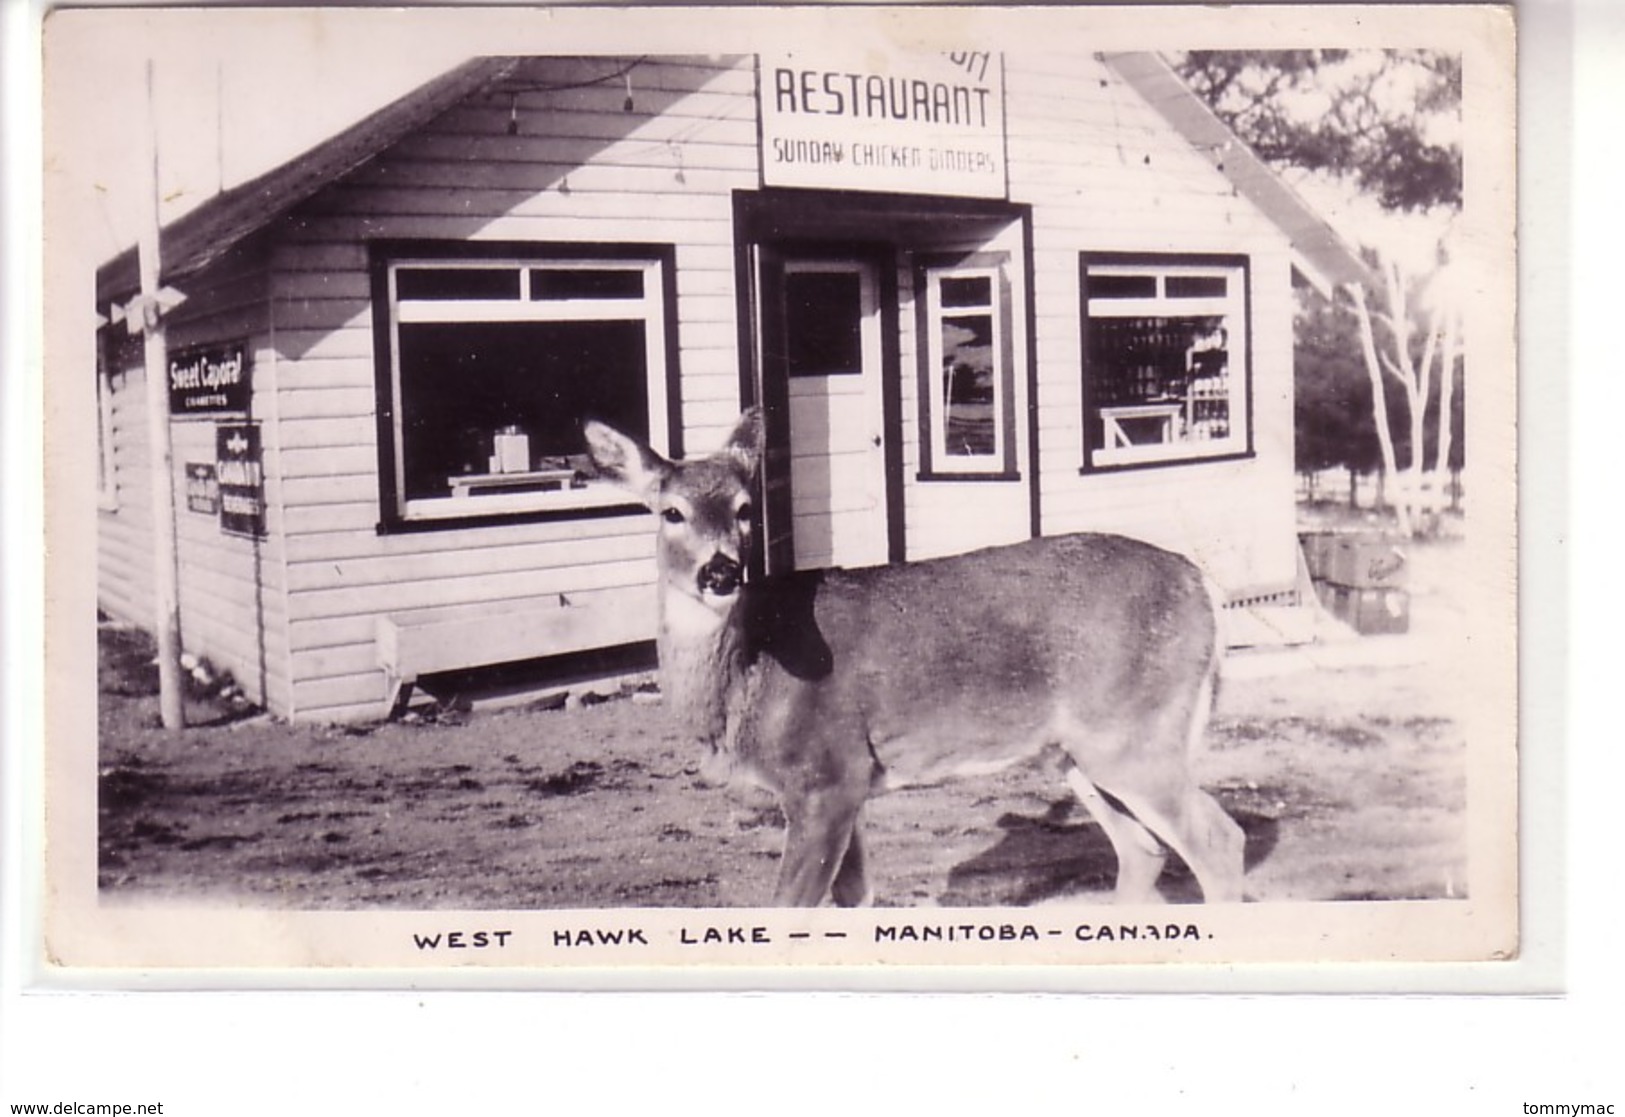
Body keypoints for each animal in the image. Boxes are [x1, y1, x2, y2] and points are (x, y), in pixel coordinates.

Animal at [585, 411, 1241, 910]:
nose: (721, 572)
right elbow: (854, 902)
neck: (751, 674)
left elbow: (788, 909)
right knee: (1144, 850)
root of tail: (1202, 583)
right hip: (1078, 750)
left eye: (747, 509)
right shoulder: (842, 787)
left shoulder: (827, 773)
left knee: (1219, 842)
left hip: (1133, 733)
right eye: (670, 511)